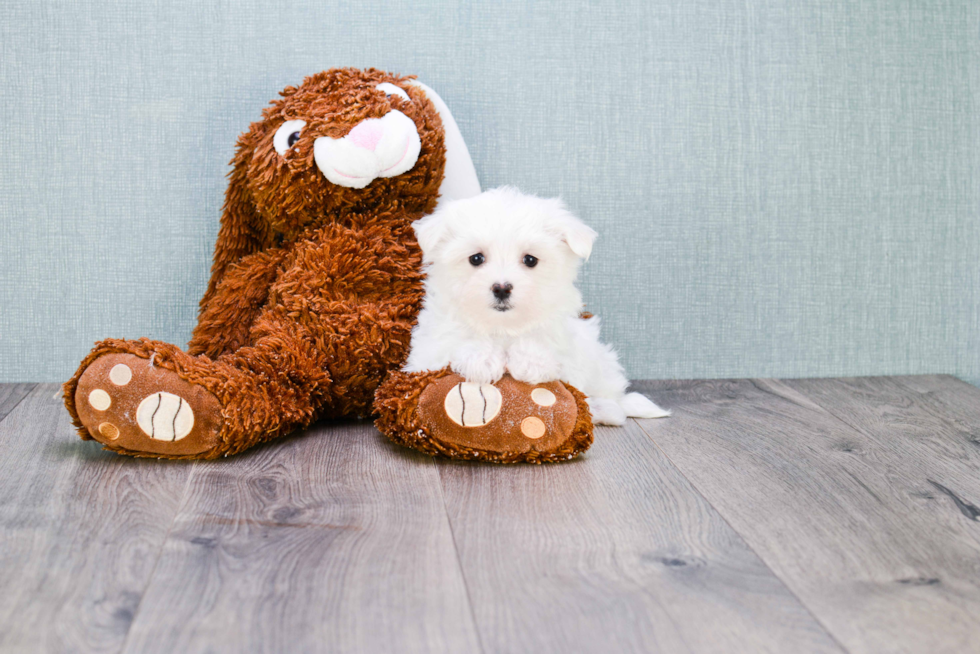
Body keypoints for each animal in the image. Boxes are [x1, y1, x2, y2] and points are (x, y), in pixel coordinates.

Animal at [402, 187, 668, 428]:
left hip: (599, 361)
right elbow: (455, 341)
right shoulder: (426, 352)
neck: (503, 327)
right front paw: (481, 358)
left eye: (530, 260)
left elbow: (545, 342)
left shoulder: (568, 344)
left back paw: (606, 410)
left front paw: (531, 361)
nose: (501, 288)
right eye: (476, 258)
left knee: (611, 397)